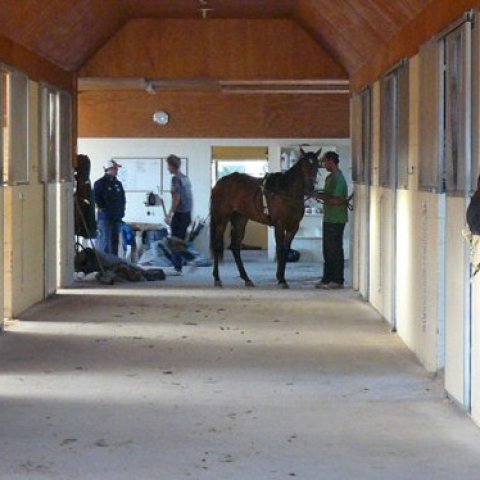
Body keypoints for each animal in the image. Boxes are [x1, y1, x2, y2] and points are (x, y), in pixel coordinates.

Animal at [211, 148, 320, 286]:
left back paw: (246, 278)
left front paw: (281, 277)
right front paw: (281, 279)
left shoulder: (293, 226)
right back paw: (217, 278)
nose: (310, 186)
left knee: (235, 247)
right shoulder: (279, 225)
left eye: (317, 165)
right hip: (221, 220)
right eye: (304, 165)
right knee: (217, 245)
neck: (286, 191)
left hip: (240, 219)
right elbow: (280, 250)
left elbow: (286, 249)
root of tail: (218, 184)